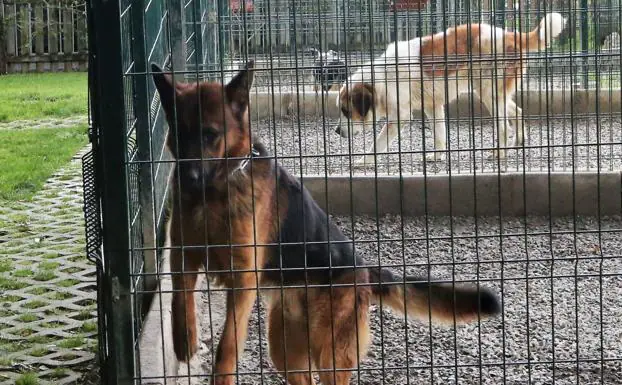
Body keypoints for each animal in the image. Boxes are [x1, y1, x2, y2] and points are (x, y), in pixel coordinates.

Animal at [152, 61, 502, 382]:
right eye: (179, 134)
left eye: (210, 134)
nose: (188, 178)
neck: (213, 193)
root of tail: (365, 272)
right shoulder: (182, 255)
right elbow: (178, 298)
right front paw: (185, 339)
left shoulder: (243, 280)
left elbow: (228, 344)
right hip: (284, 349)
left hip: (329, 353)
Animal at [338, 12, 568, 164]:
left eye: (346, 111)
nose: (337, 131)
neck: (382, 76)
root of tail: (510, 35)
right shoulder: (433, 107)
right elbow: (439, 133)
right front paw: (437, 155)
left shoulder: (400, 116)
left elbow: (379, 141)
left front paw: (366, 160)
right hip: (493, 93)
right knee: (517, 111)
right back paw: (518, 141)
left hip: (489, 93)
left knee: (503, 125)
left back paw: (499, 153)